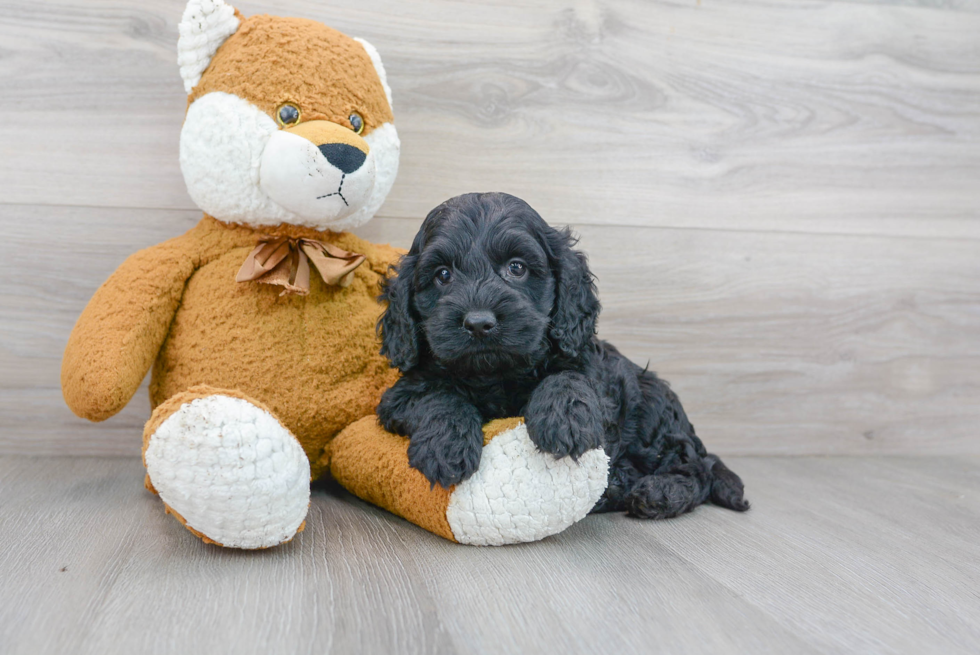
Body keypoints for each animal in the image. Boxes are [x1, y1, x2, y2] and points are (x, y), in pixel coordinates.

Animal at [378, 192, 752, 520]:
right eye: (442, 275)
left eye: (516, 268)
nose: (479, 323)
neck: (496, 375)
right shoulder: (399, 395)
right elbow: (436, 395)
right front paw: (446, 446)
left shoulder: (595, 373)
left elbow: (570, 378)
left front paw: (564, 421)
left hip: (654, 405)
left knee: (698, 469)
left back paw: (658, 492)